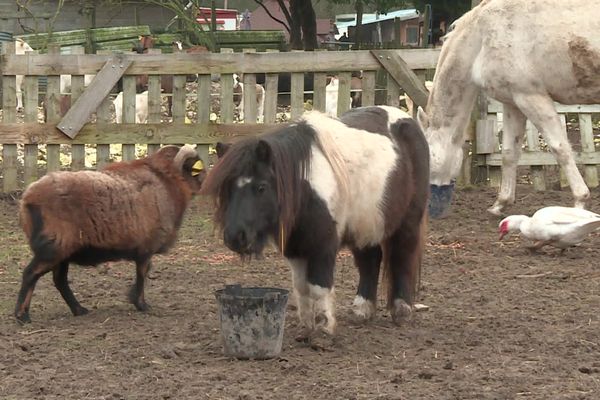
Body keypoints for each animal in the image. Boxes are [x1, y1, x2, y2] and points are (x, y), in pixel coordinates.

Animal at [14, 145, 206, 324]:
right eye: (198, 169)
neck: (166, 180)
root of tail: (27, 199)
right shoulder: (146, 249)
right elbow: (142, 274)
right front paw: (141, 304)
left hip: (62, 252)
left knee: (59, 280)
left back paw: (79, 309)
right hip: (53, 246)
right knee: (31, 274)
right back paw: (22, 316)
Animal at [204, 106, 428, 338]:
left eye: (261, 187)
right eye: (226, 188)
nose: (235, 236)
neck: (305, 189)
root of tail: (407, 119)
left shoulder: (323, 246)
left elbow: (319, 286)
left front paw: (323, 329)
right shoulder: (295, 246)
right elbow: (301, 287)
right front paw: (306, 327)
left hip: (408, 222)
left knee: (403, 256)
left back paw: (402, 310)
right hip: (366, 224)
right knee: (370, 260)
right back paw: (362, 309)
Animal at [418, 0, 600, 217]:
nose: (429, 209)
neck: (482, 37)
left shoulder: (532, 98)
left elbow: (560, 149)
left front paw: (580, 202)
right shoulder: (513, 103)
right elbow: (508, 153)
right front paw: (500, 204)